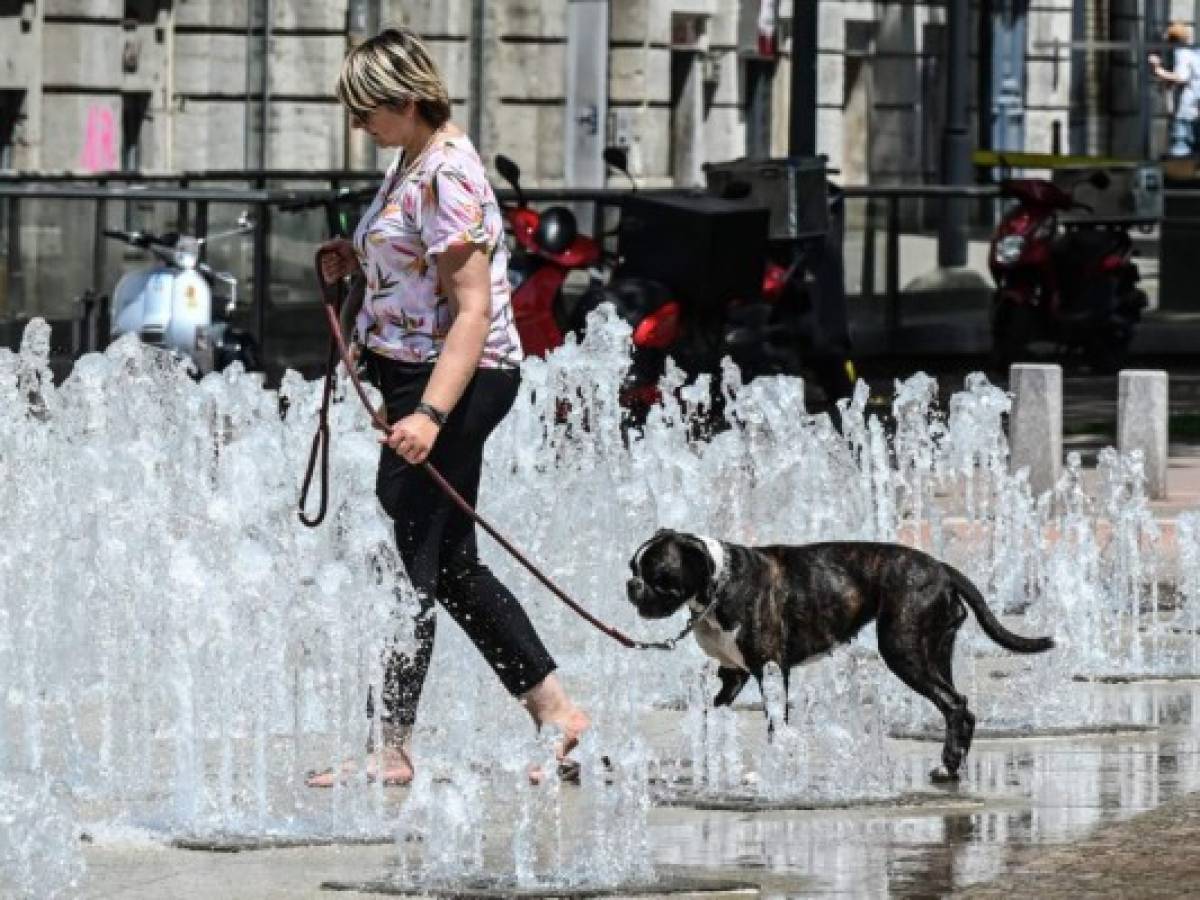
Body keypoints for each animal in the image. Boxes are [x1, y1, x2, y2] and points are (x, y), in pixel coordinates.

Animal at [624, 528, 1056, 782]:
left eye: (658, 576)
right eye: (633, 566)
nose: (631, 584)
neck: (718, 584)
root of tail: (942, 568)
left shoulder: (770, 671)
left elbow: (775, 723)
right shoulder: (733, 675)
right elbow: (711, 715)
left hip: (903, 651)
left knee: (953, 704)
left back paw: (947, 765)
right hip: (935, 652)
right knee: (960, 706)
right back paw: (953, 766)